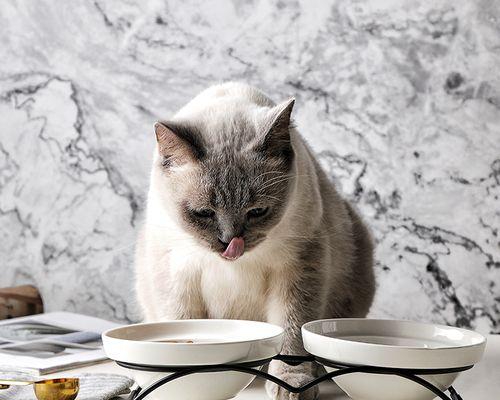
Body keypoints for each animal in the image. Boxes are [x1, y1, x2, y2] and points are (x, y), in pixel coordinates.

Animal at [135, 82, 374, 400]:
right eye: (204, 213)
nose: (230, 243)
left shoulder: (298, 268)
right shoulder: (176, 272)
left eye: (257, 211)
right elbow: (184, 328)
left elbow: (292, 334)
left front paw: (291, 383)